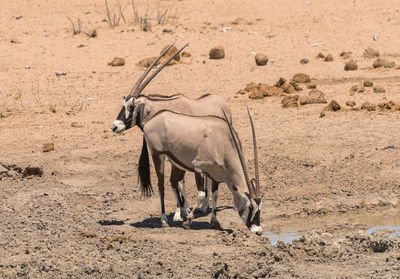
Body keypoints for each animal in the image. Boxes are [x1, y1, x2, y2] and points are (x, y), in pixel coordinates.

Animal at [111, 43, 236, 226]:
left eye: (131, 106)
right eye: (123, 105)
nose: (115, 126)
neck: (161, 110)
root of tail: (220, 100)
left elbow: (178, 182)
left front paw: (180, 213)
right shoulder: (170, 156)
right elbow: (173, 183)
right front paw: (180, 212)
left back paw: (205, 207)